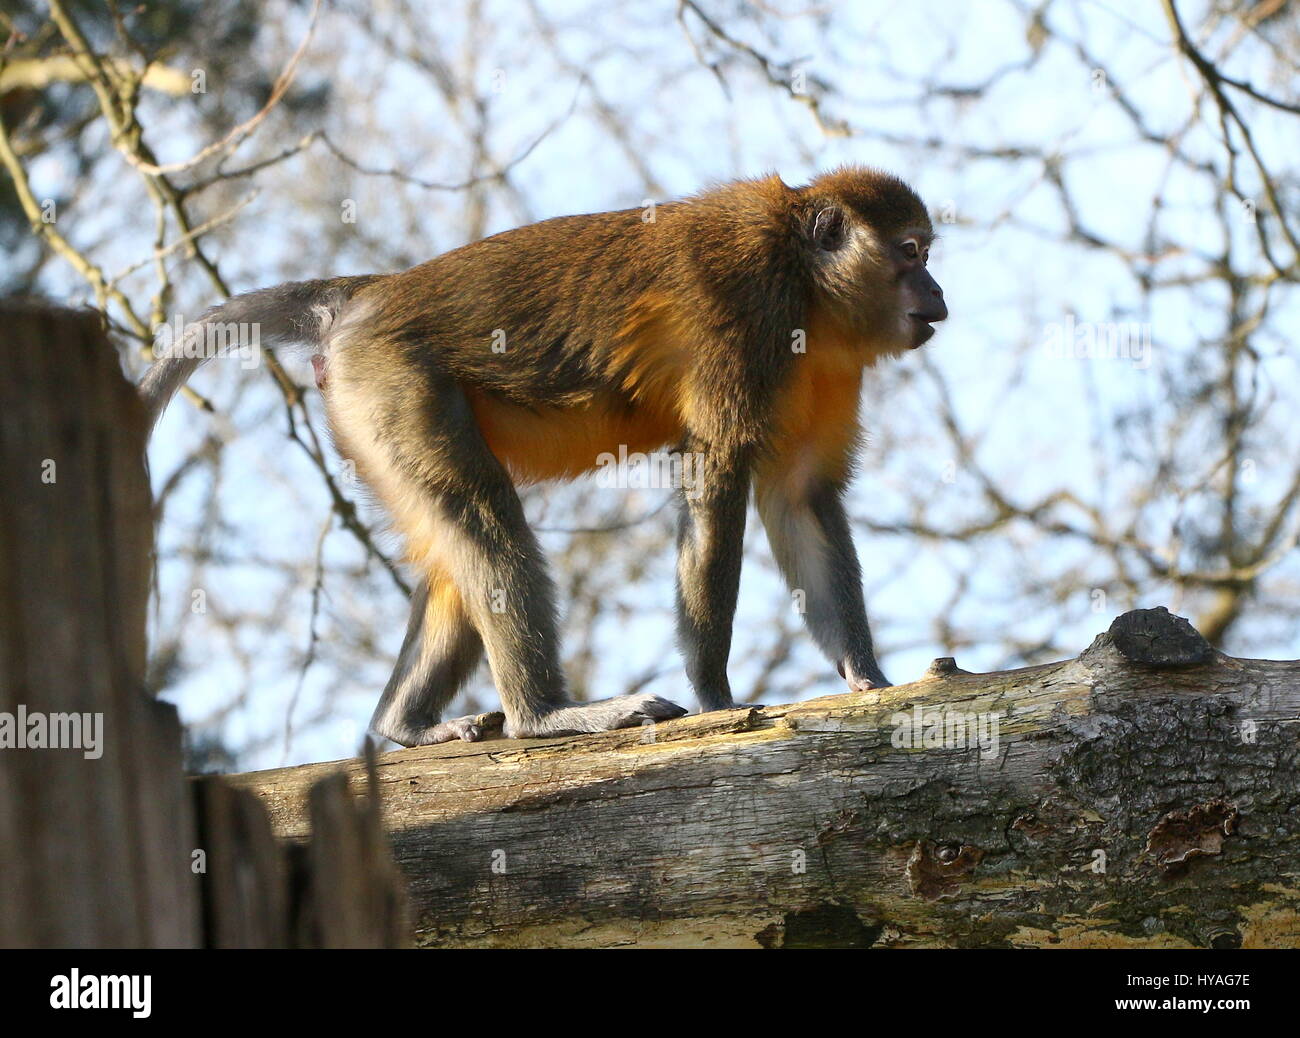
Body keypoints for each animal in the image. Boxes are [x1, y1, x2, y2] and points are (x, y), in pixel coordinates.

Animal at [139, 164, 946, 749]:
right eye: (910, 252)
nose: (938, 294)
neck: (808, 288)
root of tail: (369, 297)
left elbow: (801, 496)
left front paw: (868, 675)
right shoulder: (748, 313)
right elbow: (715, 477)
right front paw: (717, 694)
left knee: (454, 540)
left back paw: (404, 724)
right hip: (389, 383)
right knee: (484, 519)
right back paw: (544, 717)